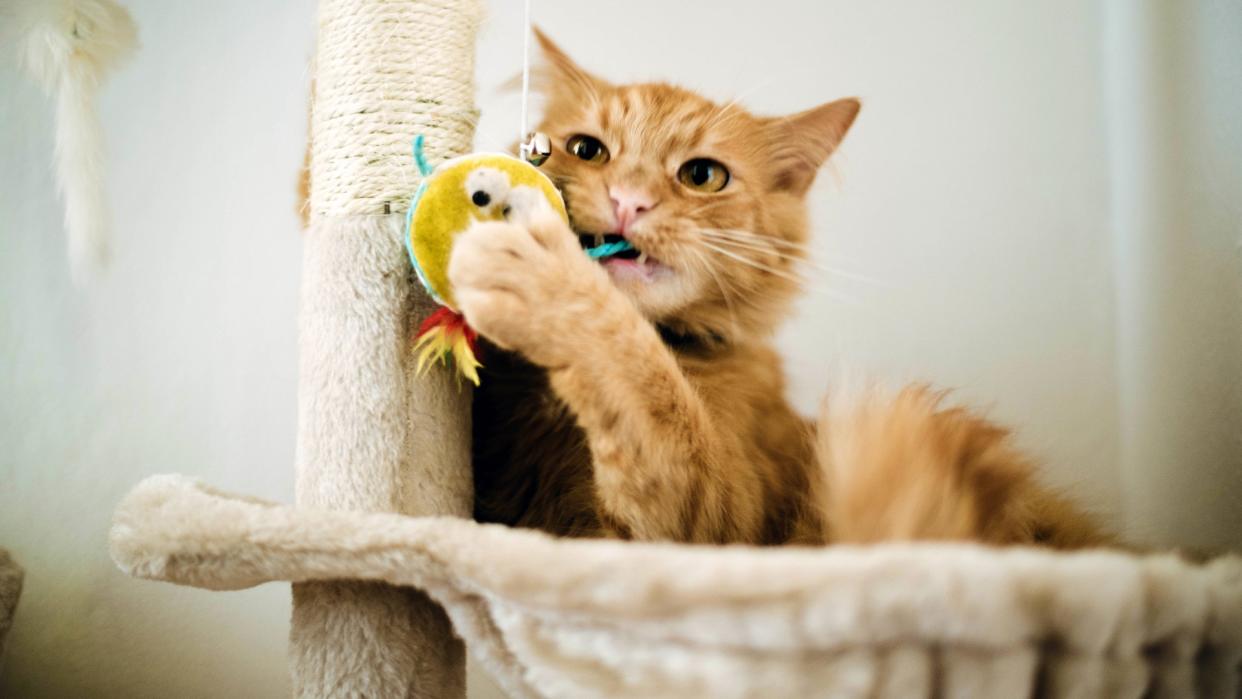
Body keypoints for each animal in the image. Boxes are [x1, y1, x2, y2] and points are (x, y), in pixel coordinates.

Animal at [447, 31, 1107, 546]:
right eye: (587, 149)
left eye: (702, 175)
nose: (628, 201)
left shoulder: (717, 517)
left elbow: (649, 390)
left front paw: (547, 282)